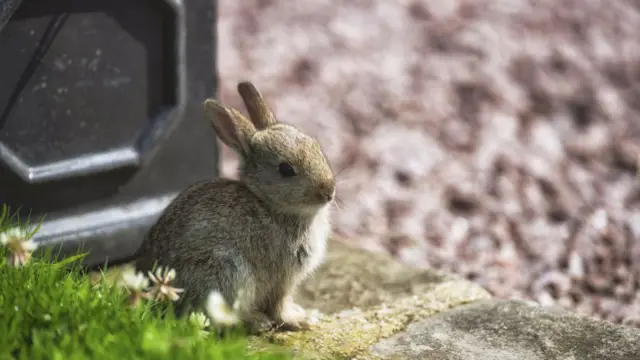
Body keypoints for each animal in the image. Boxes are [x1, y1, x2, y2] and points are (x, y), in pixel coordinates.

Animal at [134, 81, 336, 334]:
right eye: (286, 170)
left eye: (316, 146)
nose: (328, 191)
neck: (270, 204)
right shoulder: (282, 279)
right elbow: (278, 304)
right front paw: (298, 320)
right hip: (225, 270)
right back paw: (256, 321)